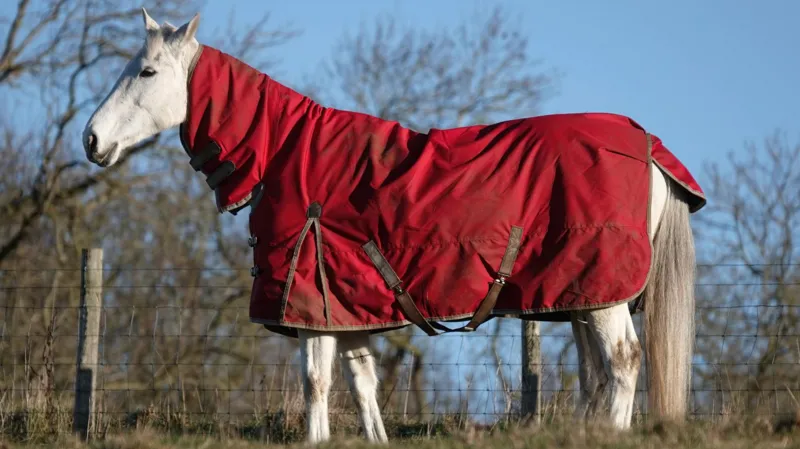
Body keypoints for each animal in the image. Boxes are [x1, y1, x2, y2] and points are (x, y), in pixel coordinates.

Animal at [82, 10, 705, 443]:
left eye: (146, 71)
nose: (91, 139)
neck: (287, 153)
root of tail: (646, 146)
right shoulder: (346, 304)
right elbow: (362, 383)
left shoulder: (310, 302)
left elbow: (315, 382)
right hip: (579, 295)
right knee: (595, 371)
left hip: (603, 294)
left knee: (623, 361)